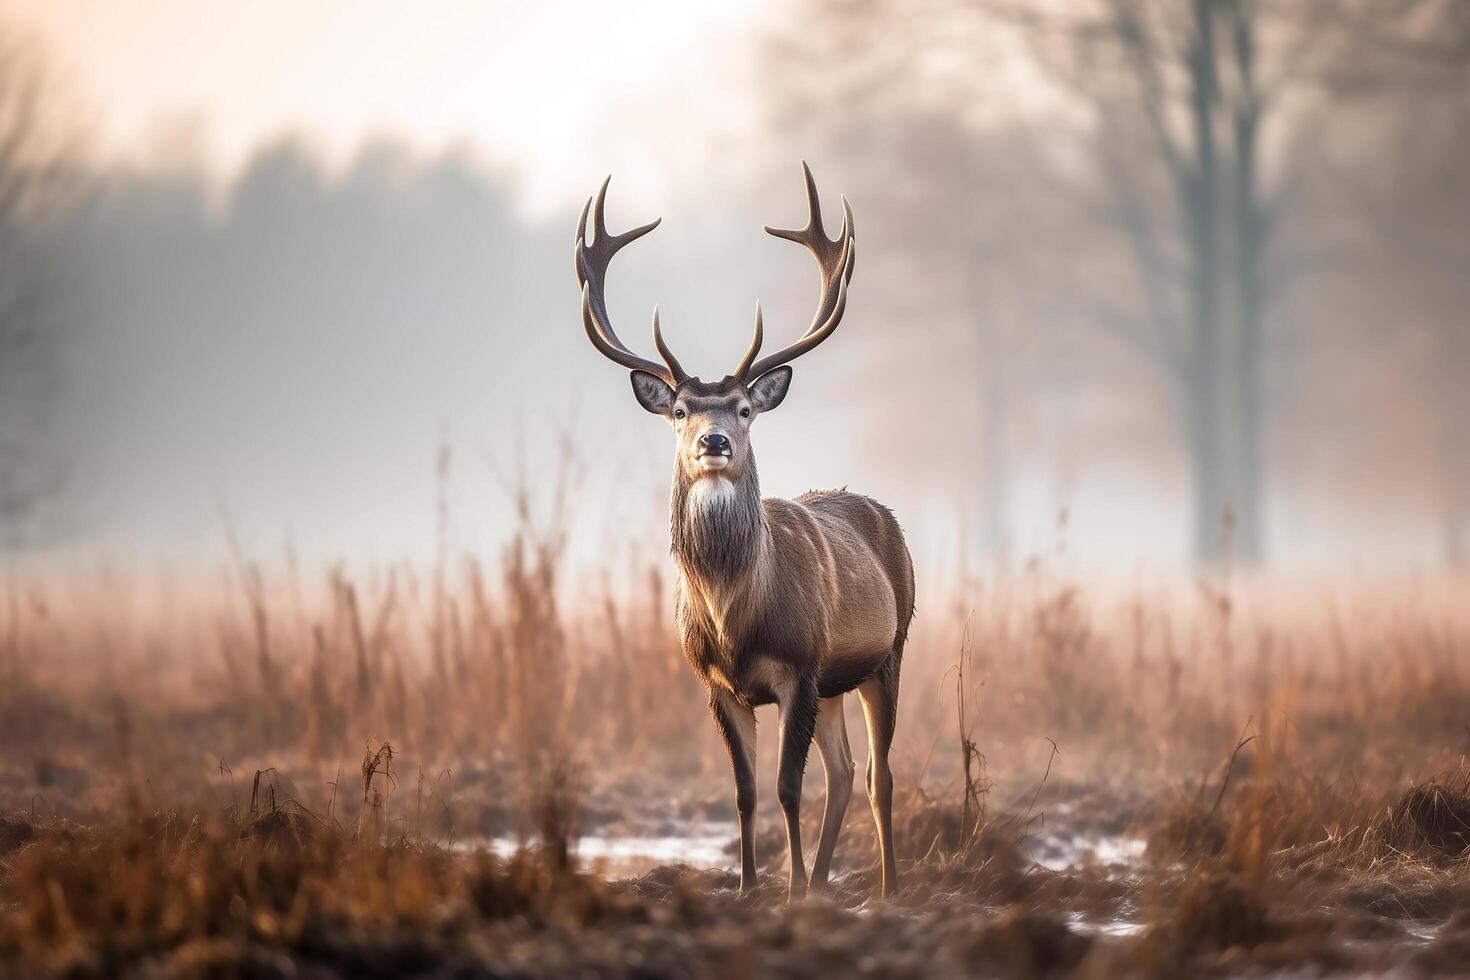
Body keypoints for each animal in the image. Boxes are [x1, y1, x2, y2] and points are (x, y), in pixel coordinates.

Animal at [576, 163, 911, 905]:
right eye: (679, 410)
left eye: (745, 407)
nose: (715, 442)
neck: (735, 619)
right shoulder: (717, 683)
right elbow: (745, 792)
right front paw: (751, 890)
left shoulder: (799, 667)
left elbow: (787, 788)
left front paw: (789, 890)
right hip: (838, 681)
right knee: (844, 772)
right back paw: (827, 881)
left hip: (888, 651)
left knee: (879, 777)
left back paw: (884, 891)